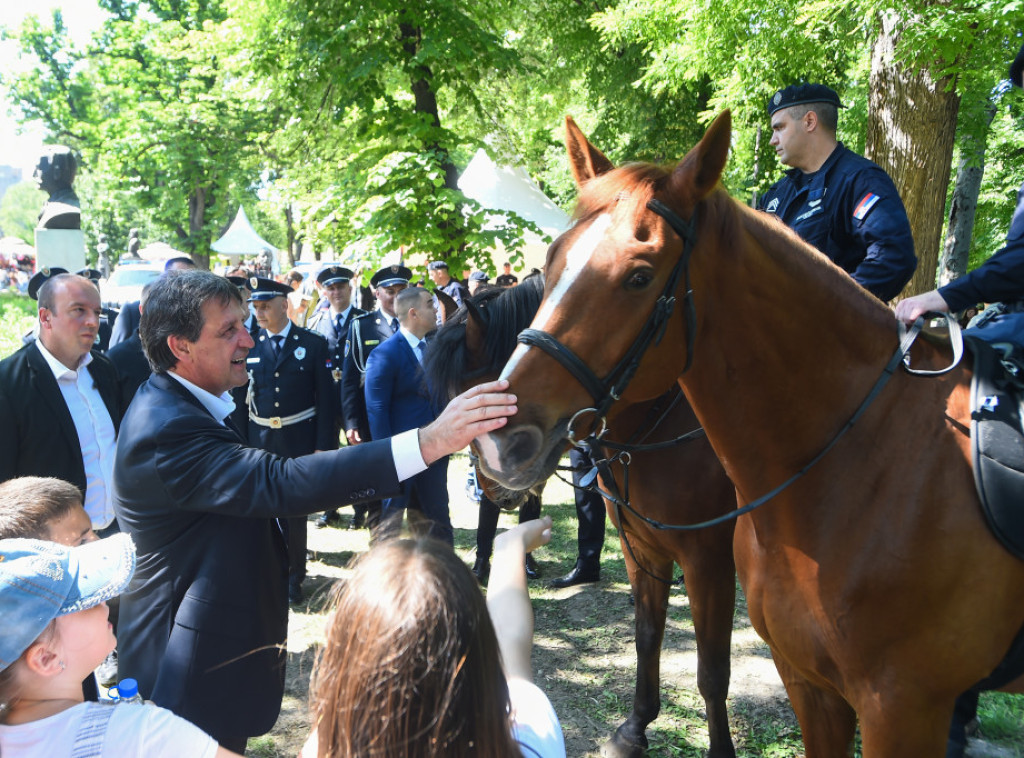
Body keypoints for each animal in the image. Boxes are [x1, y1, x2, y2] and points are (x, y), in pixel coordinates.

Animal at [421, 278, 737, 758]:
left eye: (478, 399)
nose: (491, 486)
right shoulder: (641, 547)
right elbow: (648, 636)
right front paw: (635, 728)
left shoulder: (710, 561)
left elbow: (713, 670)